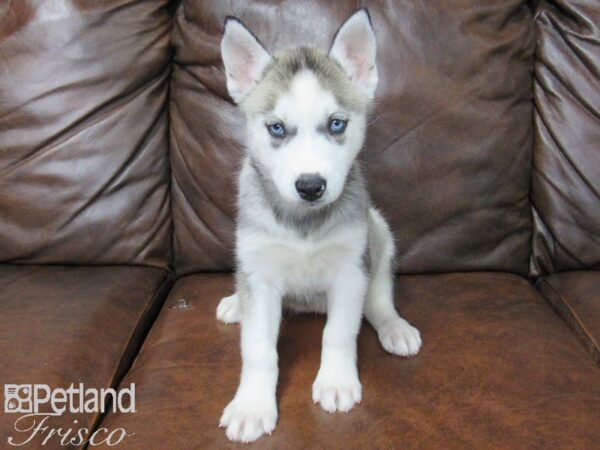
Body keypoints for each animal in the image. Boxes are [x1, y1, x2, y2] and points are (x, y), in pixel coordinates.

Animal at [217, 9, 422, 442]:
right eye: (276, 128)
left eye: (337, 124)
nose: (311, 186)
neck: (304, 224)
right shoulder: (260, 276)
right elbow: (258, 349)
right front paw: (251, 405)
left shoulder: (350, 270)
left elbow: (339, 333)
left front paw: (336, 382)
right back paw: (234, 303)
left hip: (378, 233)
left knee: (377, 300)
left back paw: (394, 326)